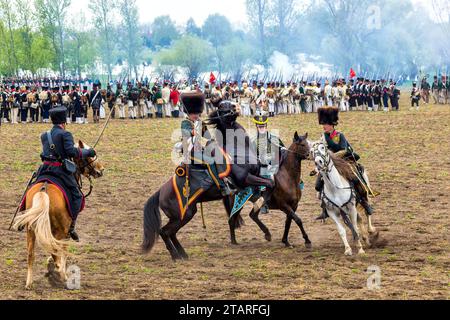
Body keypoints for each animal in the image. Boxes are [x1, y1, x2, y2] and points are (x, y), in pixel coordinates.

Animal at [12, 142, 104, 290]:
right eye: (89, 156)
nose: (101, 170)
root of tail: (43, 191)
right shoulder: (65, 230)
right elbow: (63, 249)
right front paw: (61, 269)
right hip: (60, 229)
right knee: (55, 248)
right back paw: (61, 273)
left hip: (30, 230)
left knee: (31, 254)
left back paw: (30, 282)